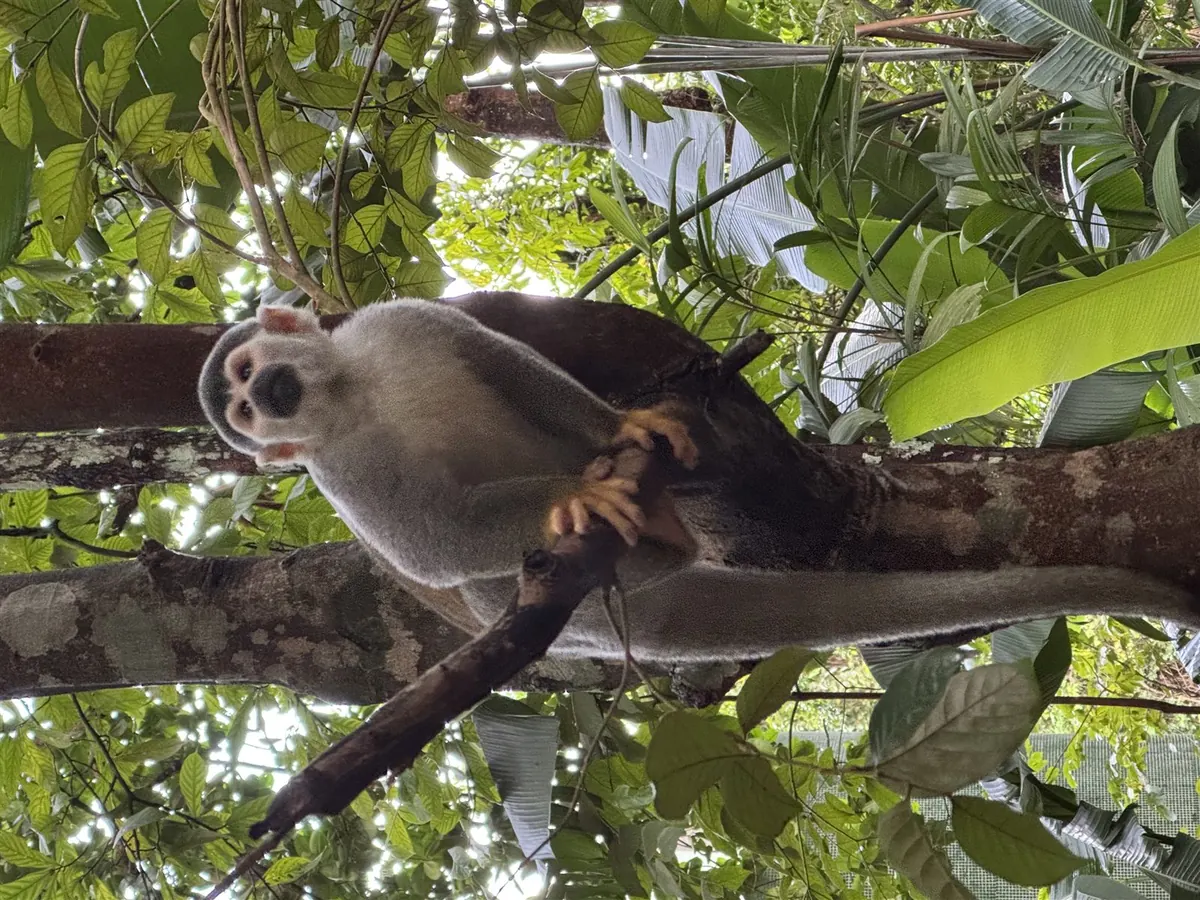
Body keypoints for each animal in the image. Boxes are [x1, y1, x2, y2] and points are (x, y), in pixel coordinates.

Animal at [199, 299, 1200, 662]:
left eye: (247, 372)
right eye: (240, 413)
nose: (261, 401)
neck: (351, 393)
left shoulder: (388, 322)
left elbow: (498, 357)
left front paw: (627, 431)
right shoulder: (336, 469)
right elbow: (427, 542)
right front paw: (570, 501)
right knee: (480, 582)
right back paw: (630, 549)